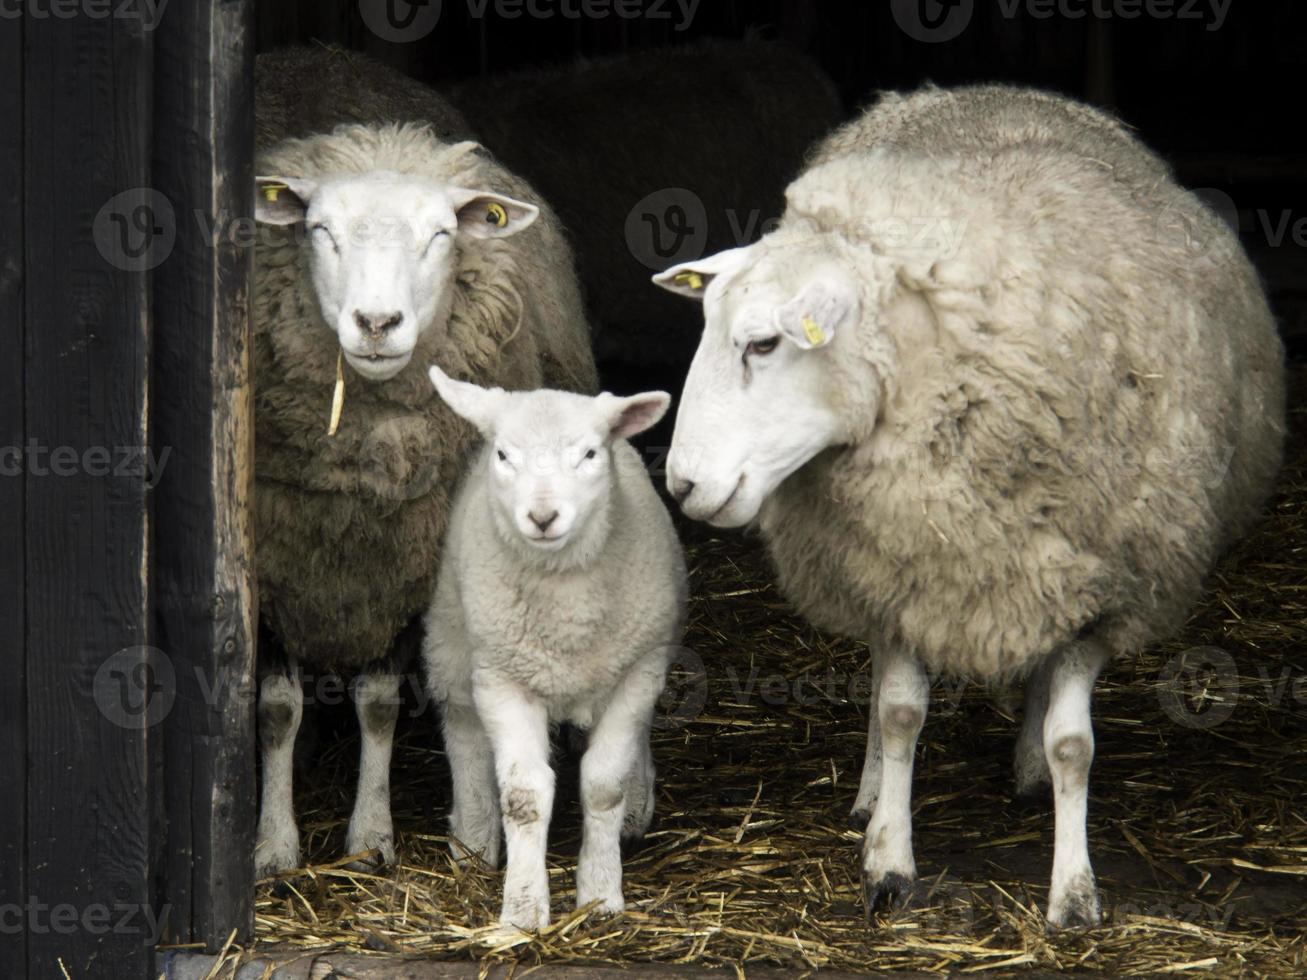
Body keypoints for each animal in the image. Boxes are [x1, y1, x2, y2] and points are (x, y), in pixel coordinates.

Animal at [252, 118, 598, 878]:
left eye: (440, 234)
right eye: (319, 230)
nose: (377, 324)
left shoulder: (411, 564)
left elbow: (379, 704)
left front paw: (370, 838)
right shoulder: (270, 568)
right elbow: (277, 711)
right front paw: (274, 845)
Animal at [423, 365, 690, 930]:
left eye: (588, 454)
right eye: (505, 454)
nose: (543, 517)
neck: (567, 617)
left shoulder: (638, 672)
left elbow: (604, 784)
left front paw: (601, 894)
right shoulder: (504, 679)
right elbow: (524, 797)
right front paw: (522, 911)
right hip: (453, 636)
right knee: (461, 726)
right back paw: (473, 838)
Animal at [648, 82, 1280, 930]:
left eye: (762, 345)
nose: (682, 484)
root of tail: (998, 91)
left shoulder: (1101, 586)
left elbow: (1073, 745)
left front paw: (1073, 890)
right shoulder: (904, 566)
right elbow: (897, 714)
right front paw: (887, 859)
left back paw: (1027, 767)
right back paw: (869, 794)